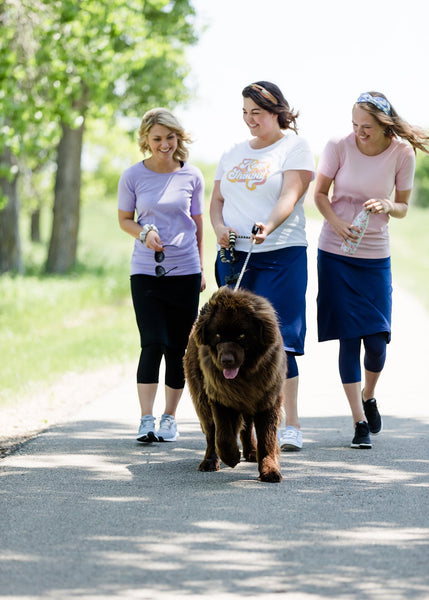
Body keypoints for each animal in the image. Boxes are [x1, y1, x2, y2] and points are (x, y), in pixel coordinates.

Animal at [183, 286, 286, 482]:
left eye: (241, 336)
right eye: (217, 335)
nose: (226, 360)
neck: (245, 375)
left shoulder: (268, 398)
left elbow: (267, 437)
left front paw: (269, 469)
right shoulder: (219, 395)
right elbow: (222, 434)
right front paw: (230, 457)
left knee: (247, 427)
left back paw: (252, 452)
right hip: (201, 396)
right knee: (211, 432)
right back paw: (209, 462)